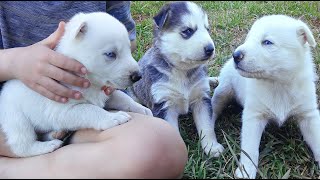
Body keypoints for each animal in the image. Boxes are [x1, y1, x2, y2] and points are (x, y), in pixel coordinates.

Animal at [0, 11, 152, 158]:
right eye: (110, 54)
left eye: (129, 49)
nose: (138, 76)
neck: (91, 82)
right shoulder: (63, 111)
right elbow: (91, 110)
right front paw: (112, 117)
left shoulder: (106, 95)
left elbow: (123, 98)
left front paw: (142, 109)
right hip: (16, 120)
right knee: (21, 146)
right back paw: (48, 145)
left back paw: (55, 134)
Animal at [211, 14, 318, 178]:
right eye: (248, 39)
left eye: (267, 42)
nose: (235, 55)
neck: (278, 85)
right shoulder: (254, 116)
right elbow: (250, 148)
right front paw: (246, 170)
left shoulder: (308, 115)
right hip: (223, 91)